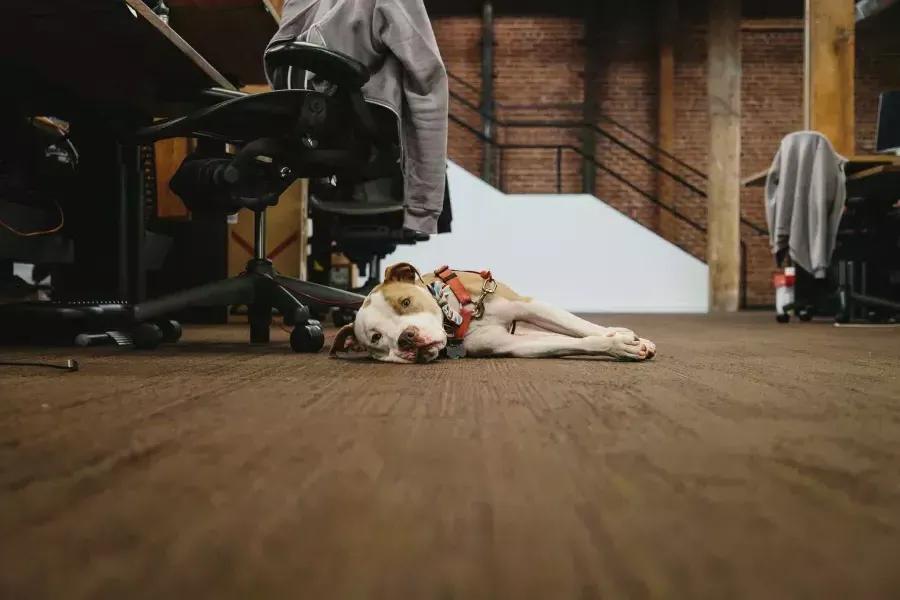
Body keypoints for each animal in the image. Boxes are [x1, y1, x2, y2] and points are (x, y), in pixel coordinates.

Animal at [328, 264, 652, 366]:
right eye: (376, 338)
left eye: (405, 303)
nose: (407, 338)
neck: (456, 317)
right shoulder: (511, 345)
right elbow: (574, 340)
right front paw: (618, 345)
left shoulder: (528, 305)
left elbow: (580, 325)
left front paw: (623, 340)